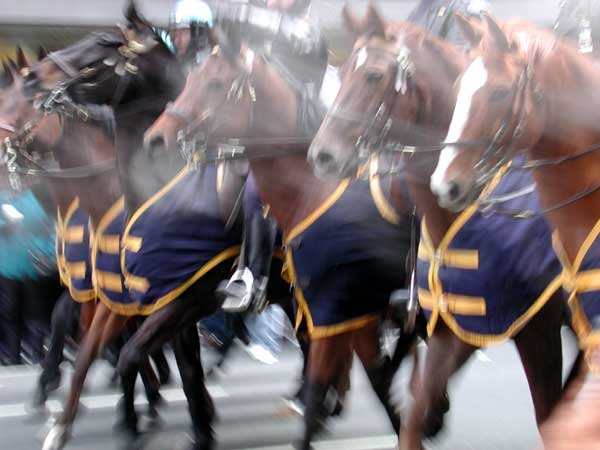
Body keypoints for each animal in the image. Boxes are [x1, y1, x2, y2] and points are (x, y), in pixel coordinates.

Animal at [308, 6, 564, 450]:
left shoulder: (535, 324)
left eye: (374, 75)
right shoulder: (451, 323)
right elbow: (414, 403)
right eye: (342, 72)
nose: (322, 155)